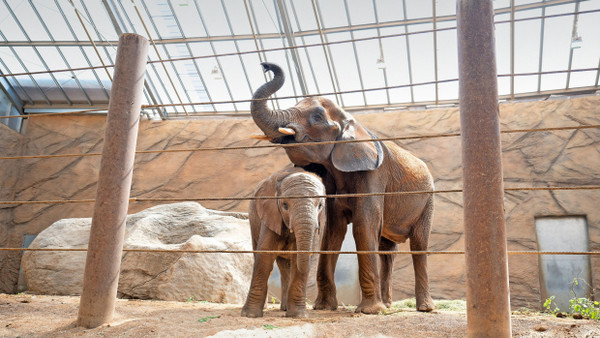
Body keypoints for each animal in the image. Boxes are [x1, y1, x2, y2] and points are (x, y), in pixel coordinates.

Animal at [241, 168, 326, 318]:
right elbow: (264, 256)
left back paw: (285, 309)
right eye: (285, 205)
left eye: (320, 205)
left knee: (286, 265)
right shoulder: (271, 214)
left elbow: (298, 259)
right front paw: (250, 315)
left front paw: (298, 315)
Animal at [250, 62, 436, 314]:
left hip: (428, 199)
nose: (266, 66)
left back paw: (424, 308)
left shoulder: (374, 175)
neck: (352, 121)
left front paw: (369, 311)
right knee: (387, 248)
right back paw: (388, 305)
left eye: (317, 116)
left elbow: (363, 226)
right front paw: (323, 308)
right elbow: (333, 231)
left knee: (419, 244)